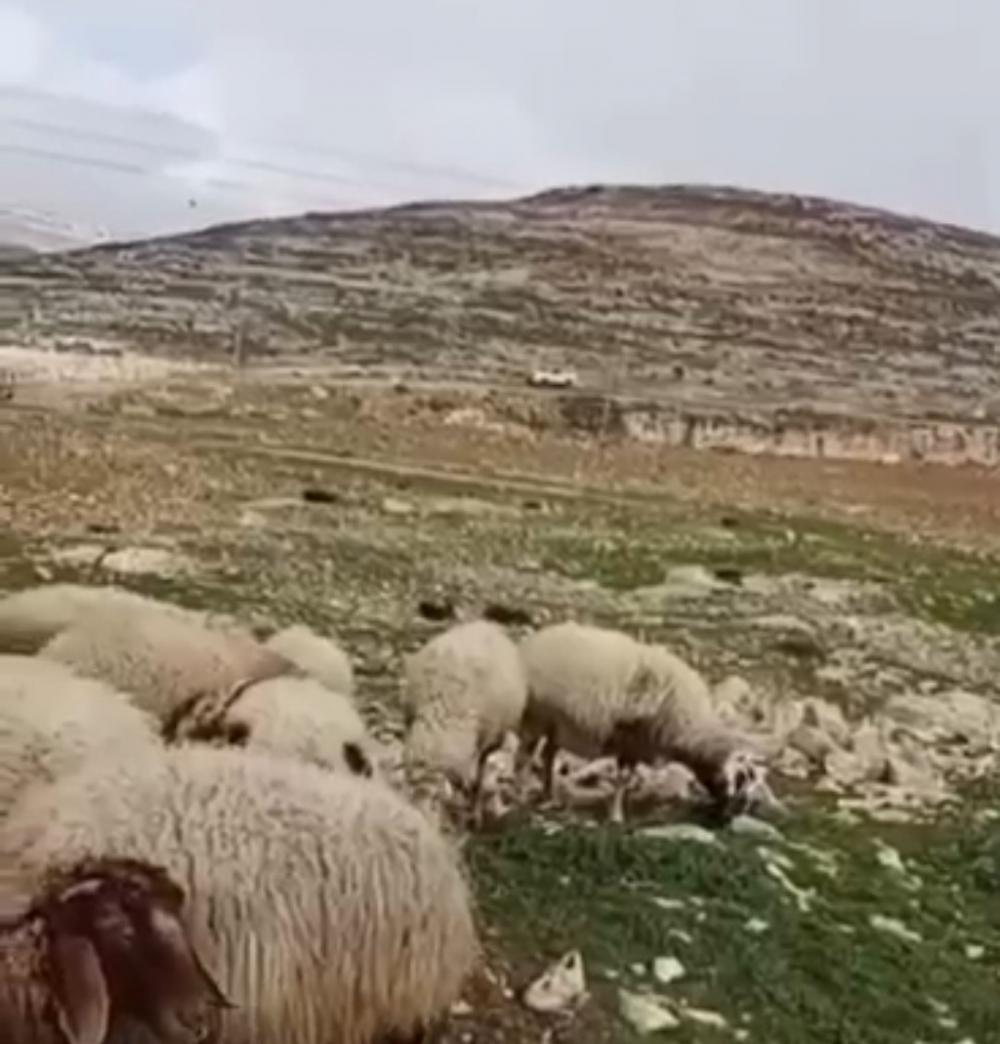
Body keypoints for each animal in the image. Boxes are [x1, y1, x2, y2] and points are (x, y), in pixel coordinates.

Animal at [518, 621, 771, 822]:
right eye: (744, 777)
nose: (730, 818)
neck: (689, 732)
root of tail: (533, 641)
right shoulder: (630, 740)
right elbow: (622, 780)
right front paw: (616, 817)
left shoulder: (637, 747)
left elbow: (625, 780)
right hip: (535, 717)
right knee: (524, 756)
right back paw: (519, 796)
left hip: (555, 725)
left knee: (548, 756)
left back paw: (548, 797)